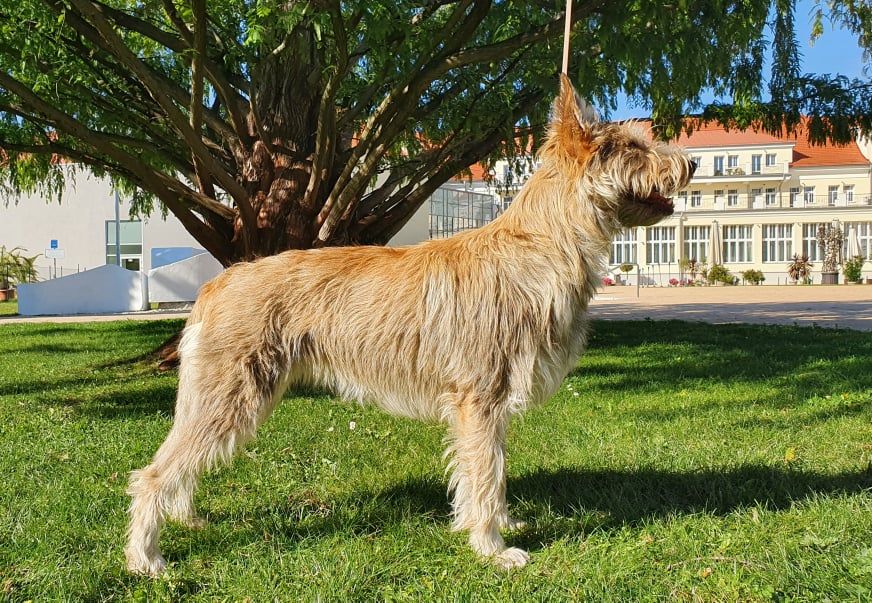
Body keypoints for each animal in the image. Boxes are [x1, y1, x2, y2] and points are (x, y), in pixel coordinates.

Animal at [124, 76, 696, 576]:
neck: (540, 244)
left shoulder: (485, 407)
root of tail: (217, 284)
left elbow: (488, 469)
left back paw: (186, 519)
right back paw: (146, 559)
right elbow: (486, 472)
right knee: (150, 475)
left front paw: (496, 525)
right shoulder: (479, 399)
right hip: (229, 397)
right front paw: (492, 548)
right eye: (631, 147)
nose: (690, 164)